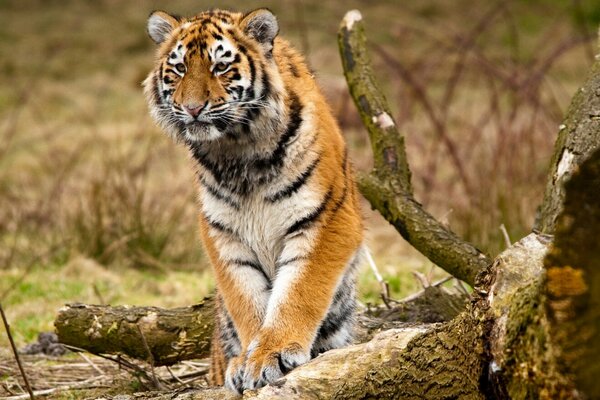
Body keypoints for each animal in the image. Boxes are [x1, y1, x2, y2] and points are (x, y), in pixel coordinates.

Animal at [143, 7, 364, 392]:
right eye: (180, 68)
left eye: (220, 67)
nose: (192, 108)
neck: (237, 150)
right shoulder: (222, 233)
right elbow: (246, 299)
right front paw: (248, 360)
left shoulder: (326, 218)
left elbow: (298, 291)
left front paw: (271, 355)